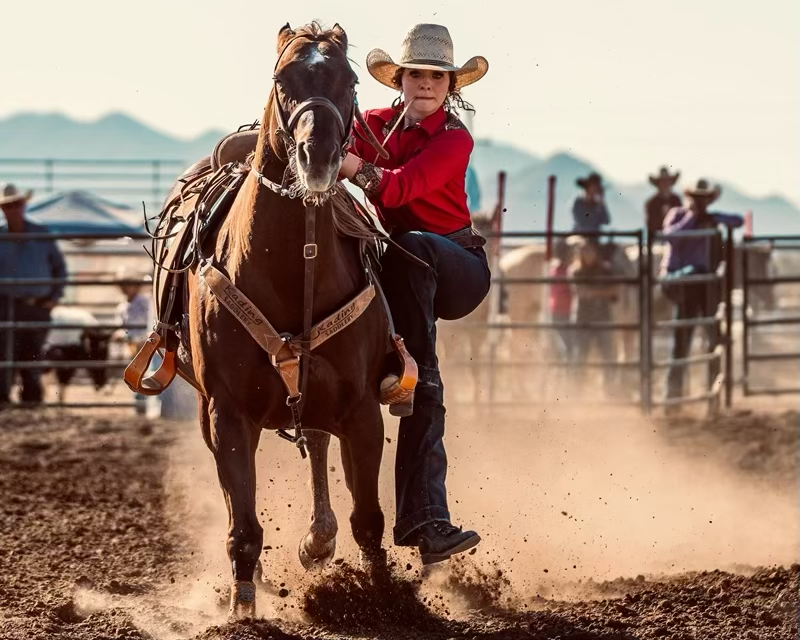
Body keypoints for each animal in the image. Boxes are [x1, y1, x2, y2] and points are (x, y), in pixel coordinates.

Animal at [157, 23, 396, 619]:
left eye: (350, 80)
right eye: (282, 80)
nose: (319, 156)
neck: (294, 266)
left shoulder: (362, 409)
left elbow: (369, 518)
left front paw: (390, 599)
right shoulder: (227, 411)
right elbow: (242, 522)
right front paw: (243, 605)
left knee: (319, 445)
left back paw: (319, 539)